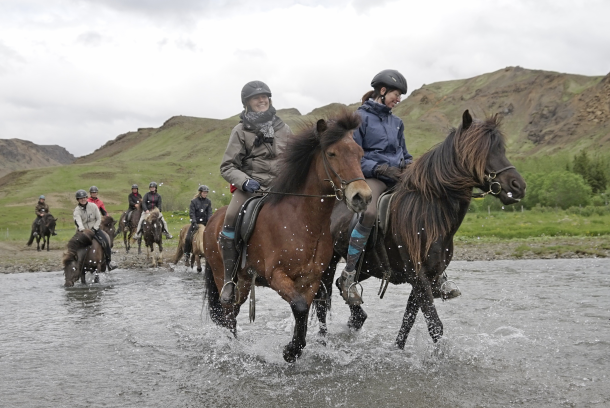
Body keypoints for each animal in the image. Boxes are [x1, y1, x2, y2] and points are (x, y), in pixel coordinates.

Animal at [314, 110, 528, 350]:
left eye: (501, 149)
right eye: (480, 150)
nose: (518, 186)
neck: (428, 213)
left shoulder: (426, 277)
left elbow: (408, 321)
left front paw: (397, 350)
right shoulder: (418, 277)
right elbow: (435, 325)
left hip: (366, 267)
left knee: (340, 286)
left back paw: (354, 316)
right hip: (328, 263)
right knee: (322, 300)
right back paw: (323, 342)